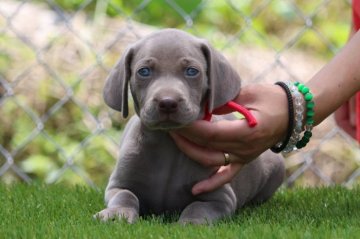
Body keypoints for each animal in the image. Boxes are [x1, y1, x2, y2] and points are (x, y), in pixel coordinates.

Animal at [94, 28, 286, 224]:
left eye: (192, 71)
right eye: (144, 71)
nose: (167, 103)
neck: (167, 146)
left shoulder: (220, 197)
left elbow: (197, 207)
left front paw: (190, 223)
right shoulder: (117, 185)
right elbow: (125, 195)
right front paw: (118, 213)